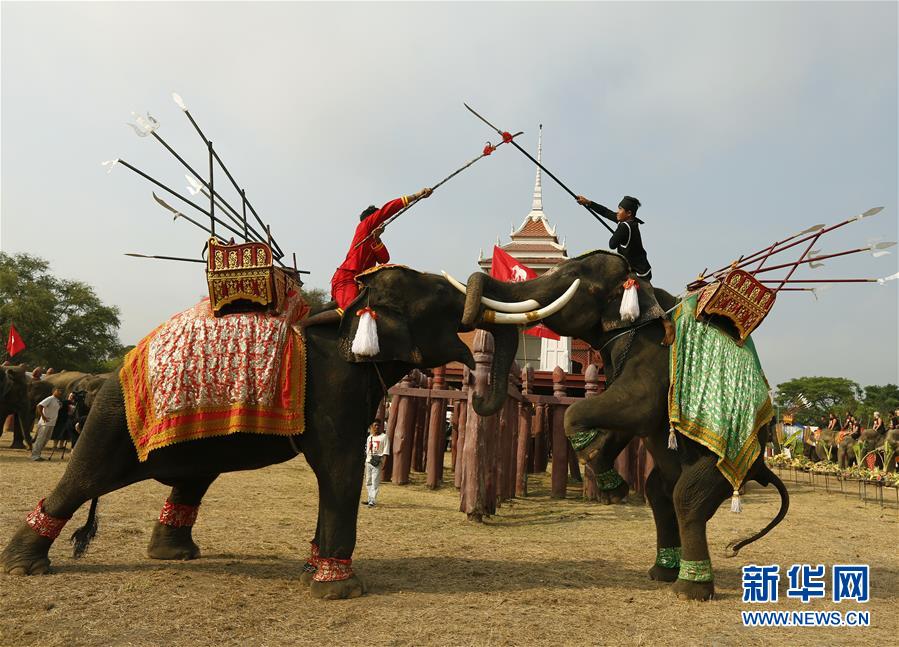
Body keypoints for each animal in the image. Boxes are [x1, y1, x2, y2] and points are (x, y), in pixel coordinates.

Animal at [1, 266, 536, 600]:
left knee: (190, 481)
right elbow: (339, 468)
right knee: (85, 479)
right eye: (447, 303)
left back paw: (176, 555)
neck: (351, 310)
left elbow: (337, 472)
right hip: (111, 420)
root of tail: (116, 369)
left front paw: (313, 569)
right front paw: (338, 589)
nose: (476, 386)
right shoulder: (334, 389)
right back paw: (25, 566)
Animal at [450, 252, 788, 604]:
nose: (476, 395)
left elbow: (633, 408)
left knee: (687, 499)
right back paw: (661, 573)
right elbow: (627, 421)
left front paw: (613, 488)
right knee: (660, 496)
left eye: (572, 277)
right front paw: (614, 489)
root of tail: (762, 466)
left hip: (729, 462)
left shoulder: (654, 355)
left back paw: (688, 590)